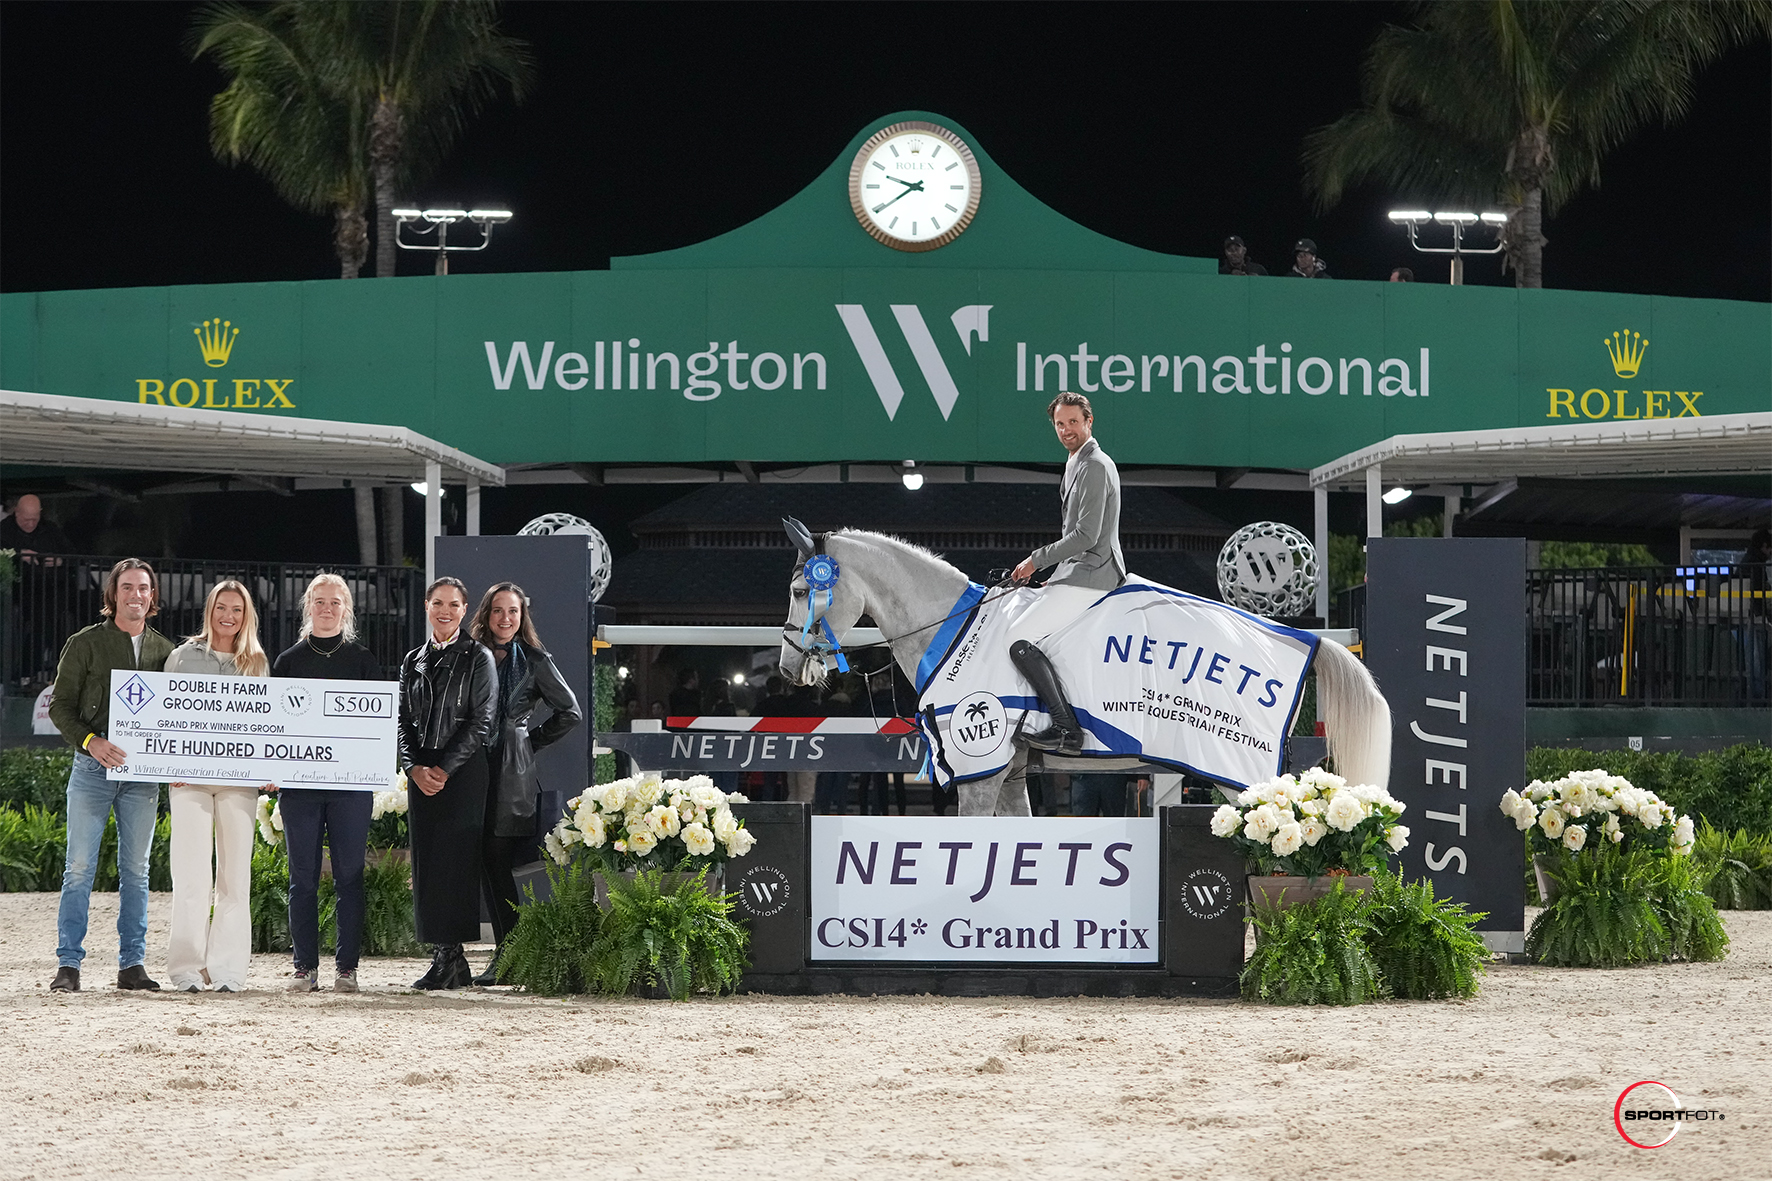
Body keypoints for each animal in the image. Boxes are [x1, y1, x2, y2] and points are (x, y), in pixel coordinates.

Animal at [783, 521, 1389, 815]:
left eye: (800, 590)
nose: (791, 667)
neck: (953, 629)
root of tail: (1306, 638)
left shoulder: (983, 769)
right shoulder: (1011, 774)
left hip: (1237, 772)